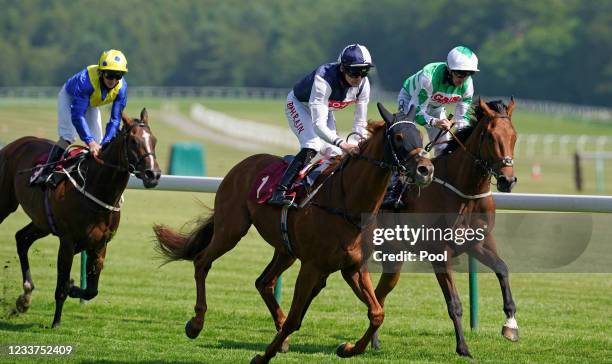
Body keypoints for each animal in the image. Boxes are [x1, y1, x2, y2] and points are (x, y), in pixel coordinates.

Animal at [0, 109, 160, 328]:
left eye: (154, 140)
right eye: (134, 141)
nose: (154, 174)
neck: (96, 187)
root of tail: (16, 144)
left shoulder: (100, 244)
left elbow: (92, 290)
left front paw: (73, 287)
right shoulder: (67, 242)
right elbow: (61, 287)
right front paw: (56, 322)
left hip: (42, 223)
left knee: (21, 238)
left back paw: (25, 297)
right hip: (5, 204)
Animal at [155, 104, 436, 362]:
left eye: (420, 135)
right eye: (398, 137)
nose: (425, 169)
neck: (348, 205)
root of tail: (242, 165)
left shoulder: (353, 267)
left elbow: (377, 313)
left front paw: (348, 348)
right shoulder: (312, 266)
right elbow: (295, 318)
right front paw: (263, 356)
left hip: (285, 249)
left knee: (264, 282)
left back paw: (280, 338)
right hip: (231, 229)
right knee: (202, 262)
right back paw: (196, 323)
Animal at [370, 98, 520, 356]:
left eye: (514, 136)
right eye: (491, 137)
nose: (507, 181)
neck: (464, 190)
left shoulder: (477, 242)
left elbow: (502, 268)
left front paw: (511, 325)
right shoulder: (439, 252)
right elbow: (454, 303)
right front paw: (463, 347)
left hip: (392, 254)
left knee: (380, 293)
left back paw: (374, 341)